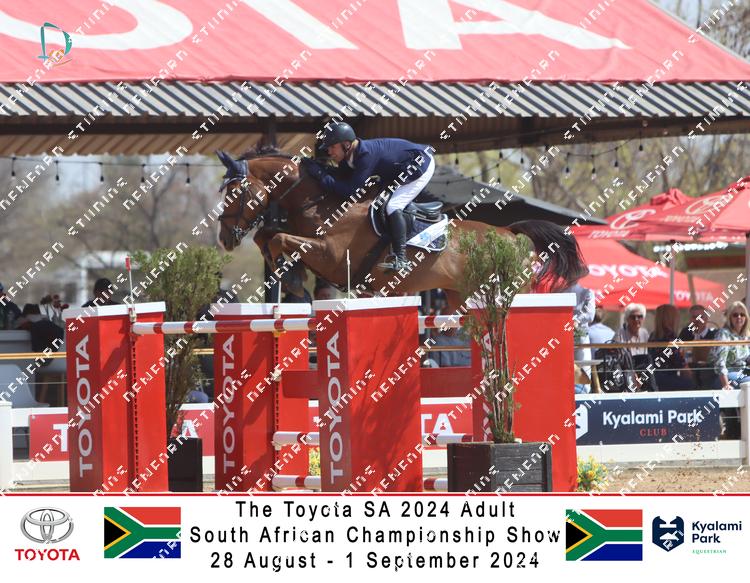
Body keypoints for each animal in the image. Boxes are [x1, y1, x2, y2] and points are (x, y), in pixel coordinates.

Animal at [215, 147, 588, 310]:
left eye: (235, 192)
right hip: (460, 292)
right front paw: (288, 277)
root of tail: (510, 233)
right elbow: (267, 236)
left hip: (510, 289)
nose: (224, 239)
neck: (319, 201)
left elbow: (278, 236)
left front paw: (291, 280)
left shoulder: (332, 256)